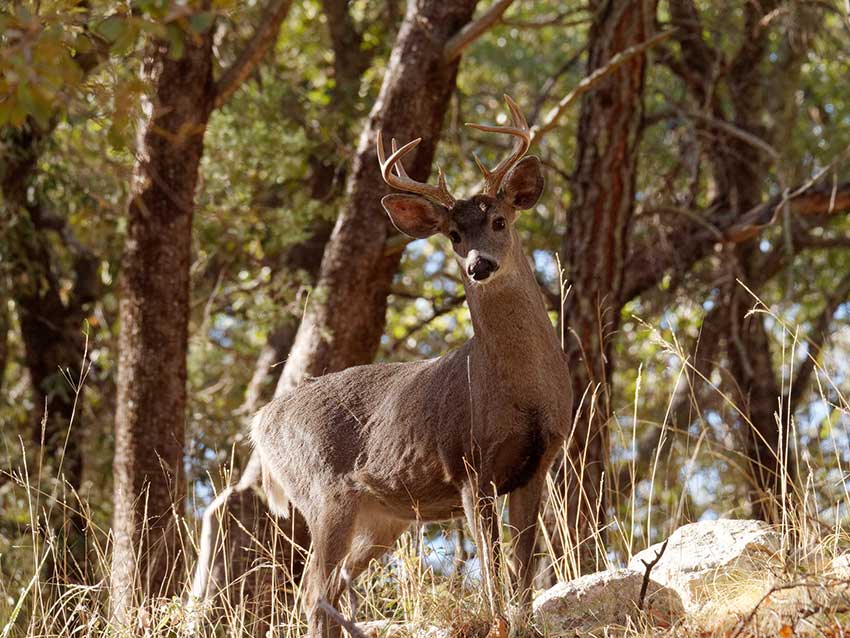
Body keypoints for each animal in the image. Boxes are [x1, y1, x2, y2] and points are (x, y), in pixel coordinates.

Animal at [250, 96, 568, 638]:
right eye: (454, 234)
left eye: (500, 221)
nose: (478, 265)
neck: (519, 391)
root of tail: (260, 422)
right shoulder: (469, 467)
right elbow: (493, 569)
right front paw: (497, 622)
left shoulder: (539, 462)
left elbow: (523, 567)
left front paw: (523, 620)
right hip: (324, 492)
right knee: (312, 591)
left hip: (384, 518)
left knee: (332, 586)